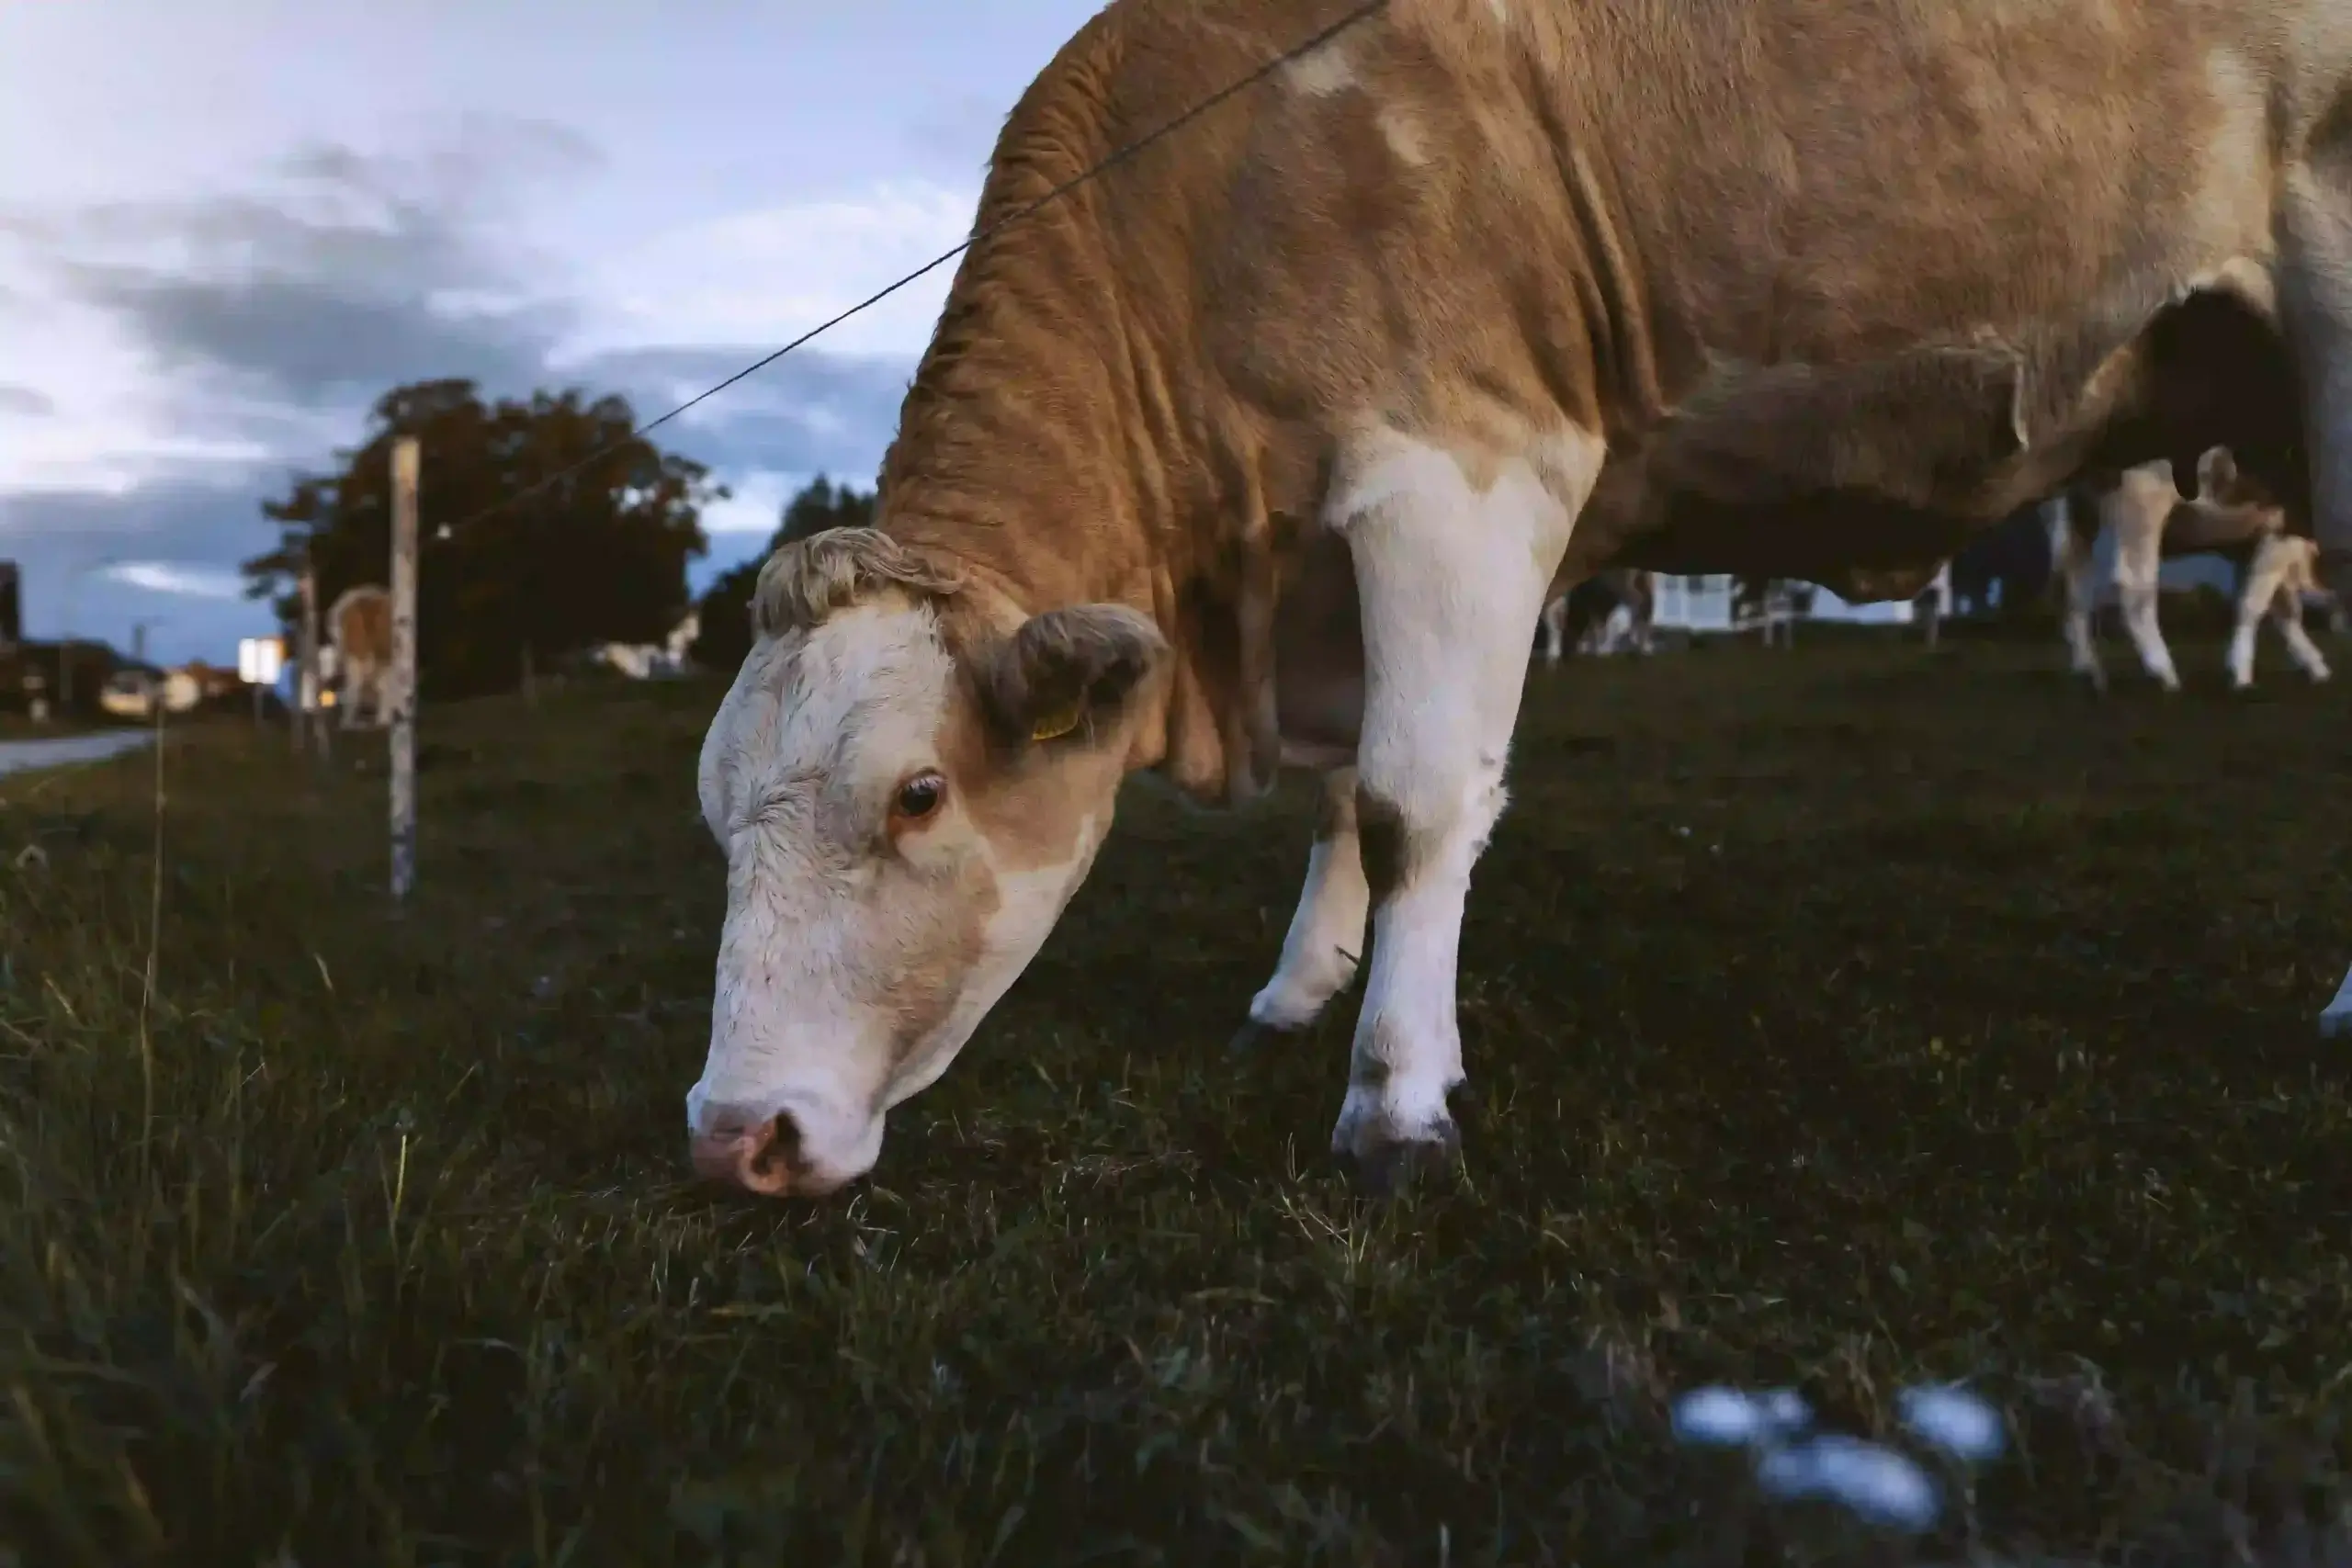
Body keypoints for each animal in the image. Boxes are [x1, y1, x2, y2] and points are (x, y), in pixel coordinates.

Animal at [2041, 442, 2333, 686]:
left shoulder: (2251, 546)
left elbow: (2281, 607)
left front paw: (2318, 668)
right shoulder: (2280, 536)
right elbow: (2256, 605)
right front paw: (2241, 675)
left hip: (2076, 524)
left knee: (2075, 587)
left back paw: (2089, 672)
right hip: (2141, 511)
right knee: (2132, 585)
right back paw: (2164, 673)